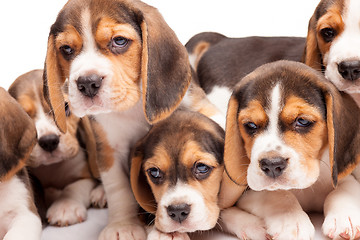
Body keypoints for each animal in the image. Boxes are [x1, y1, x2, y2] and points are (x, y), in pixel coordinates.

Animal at [8, 69, 103, 227]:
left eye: (65, 107)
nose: (49, 141)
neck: (51, 167)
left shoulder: (84, 174)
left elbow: (73, 186)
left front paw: (65, 206)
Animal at [43, 0, 191, 238]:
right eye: (66, 49)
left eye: (119, 41)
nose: (87, 83)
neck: (131, 108)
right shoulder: (109, 149)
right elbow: (118, 189)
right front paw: (122, 226)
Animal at [219, 60, 360, 240]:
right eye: (250, 125)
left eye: (303, 121)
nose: (272, 165)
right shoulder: (249, 189)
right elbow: (277, 194)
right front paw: (291, 220)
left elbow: (343, 189)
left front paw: (345, 216)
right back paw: (252, 226)